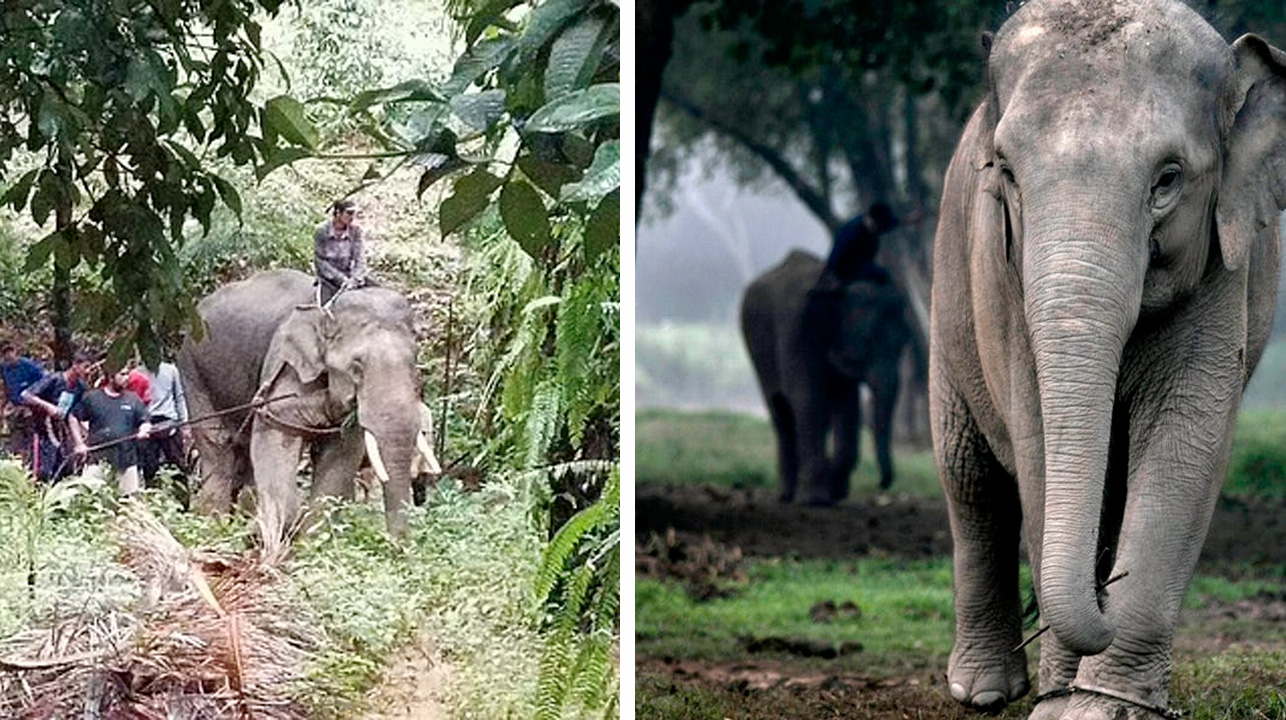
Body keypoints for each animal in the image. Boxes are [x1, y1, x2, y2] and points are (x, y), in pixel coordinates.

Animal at [178, 270, 442, 545]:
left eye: (415, 361)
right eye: (356, 367)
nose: (398, 545)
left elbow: (342, 453)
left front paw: (311, 542)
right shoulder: (285, 367)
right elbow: (275, 433)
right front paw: (273, 533)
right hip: (193, 371)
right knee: (217, 446)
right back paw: (215, 525)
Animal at [740, 250, 910, 504]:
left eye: (904, 341)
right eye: (865, 340)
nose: (882, 484)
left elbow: (847, 406)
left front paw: (835, 493)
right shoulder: (796, 331)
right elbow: (807, 398)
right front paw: (815, 500)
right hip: (757, 349)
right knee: (781, 409)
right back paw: (787, 495)